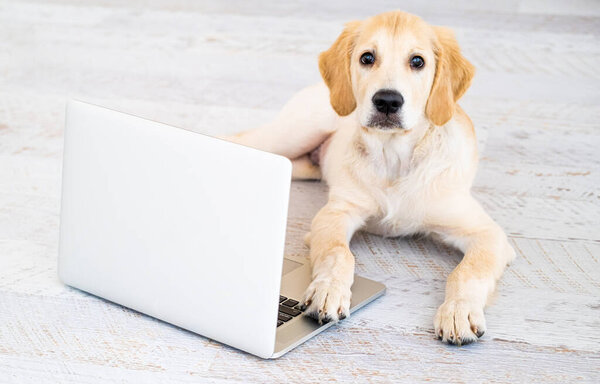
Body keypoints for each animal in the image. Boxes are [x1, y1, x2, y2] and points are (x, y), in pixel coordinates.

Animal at [230, 9, 516, 344]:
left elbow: (468, 270)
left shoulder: (488, 234)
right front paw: (329, 289)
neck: (394, 158)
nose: (388, 101)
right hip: (292, 134)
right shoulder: (336, 212)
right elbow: (339, 253)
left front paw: (459, 311)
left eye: (417, 61)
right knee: (237, 139)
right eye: (367, 58)